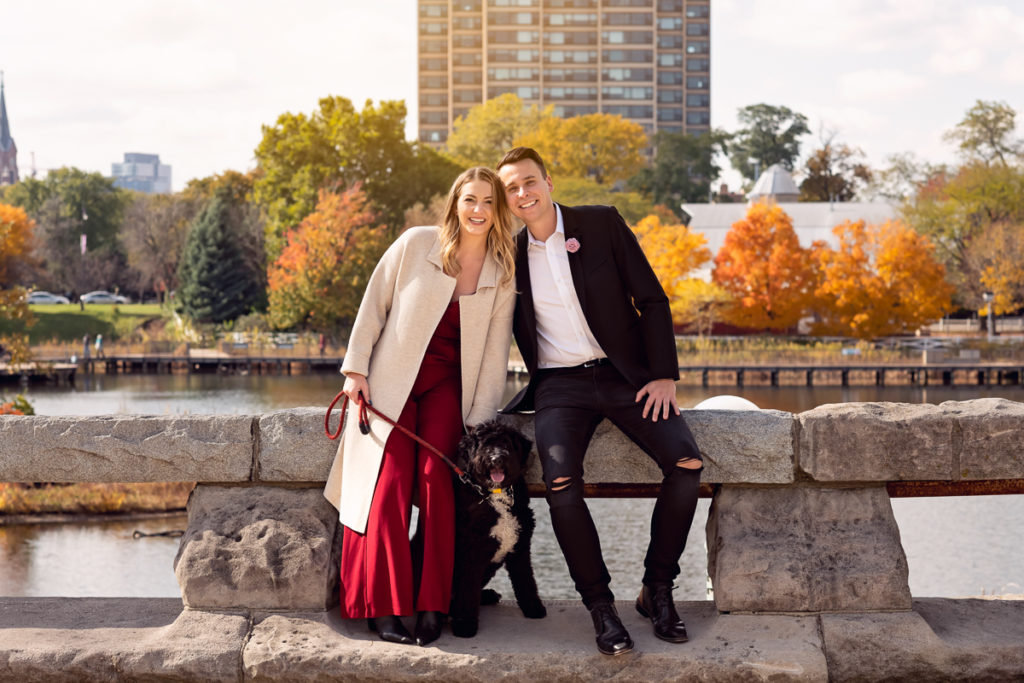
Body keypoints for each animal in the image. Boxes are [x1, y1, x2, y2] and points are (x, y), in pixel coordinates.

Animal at [448, 419, 544, 638]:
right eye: (484, 444)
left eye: (506, 443)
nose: (496, 458)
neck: (495, 494)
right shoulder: (471, 554)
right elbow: (467, 592)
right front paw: (465, 625)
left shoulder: (520, 546)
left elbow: (526, 579)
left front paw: (533, 608)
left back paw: (488, 595)